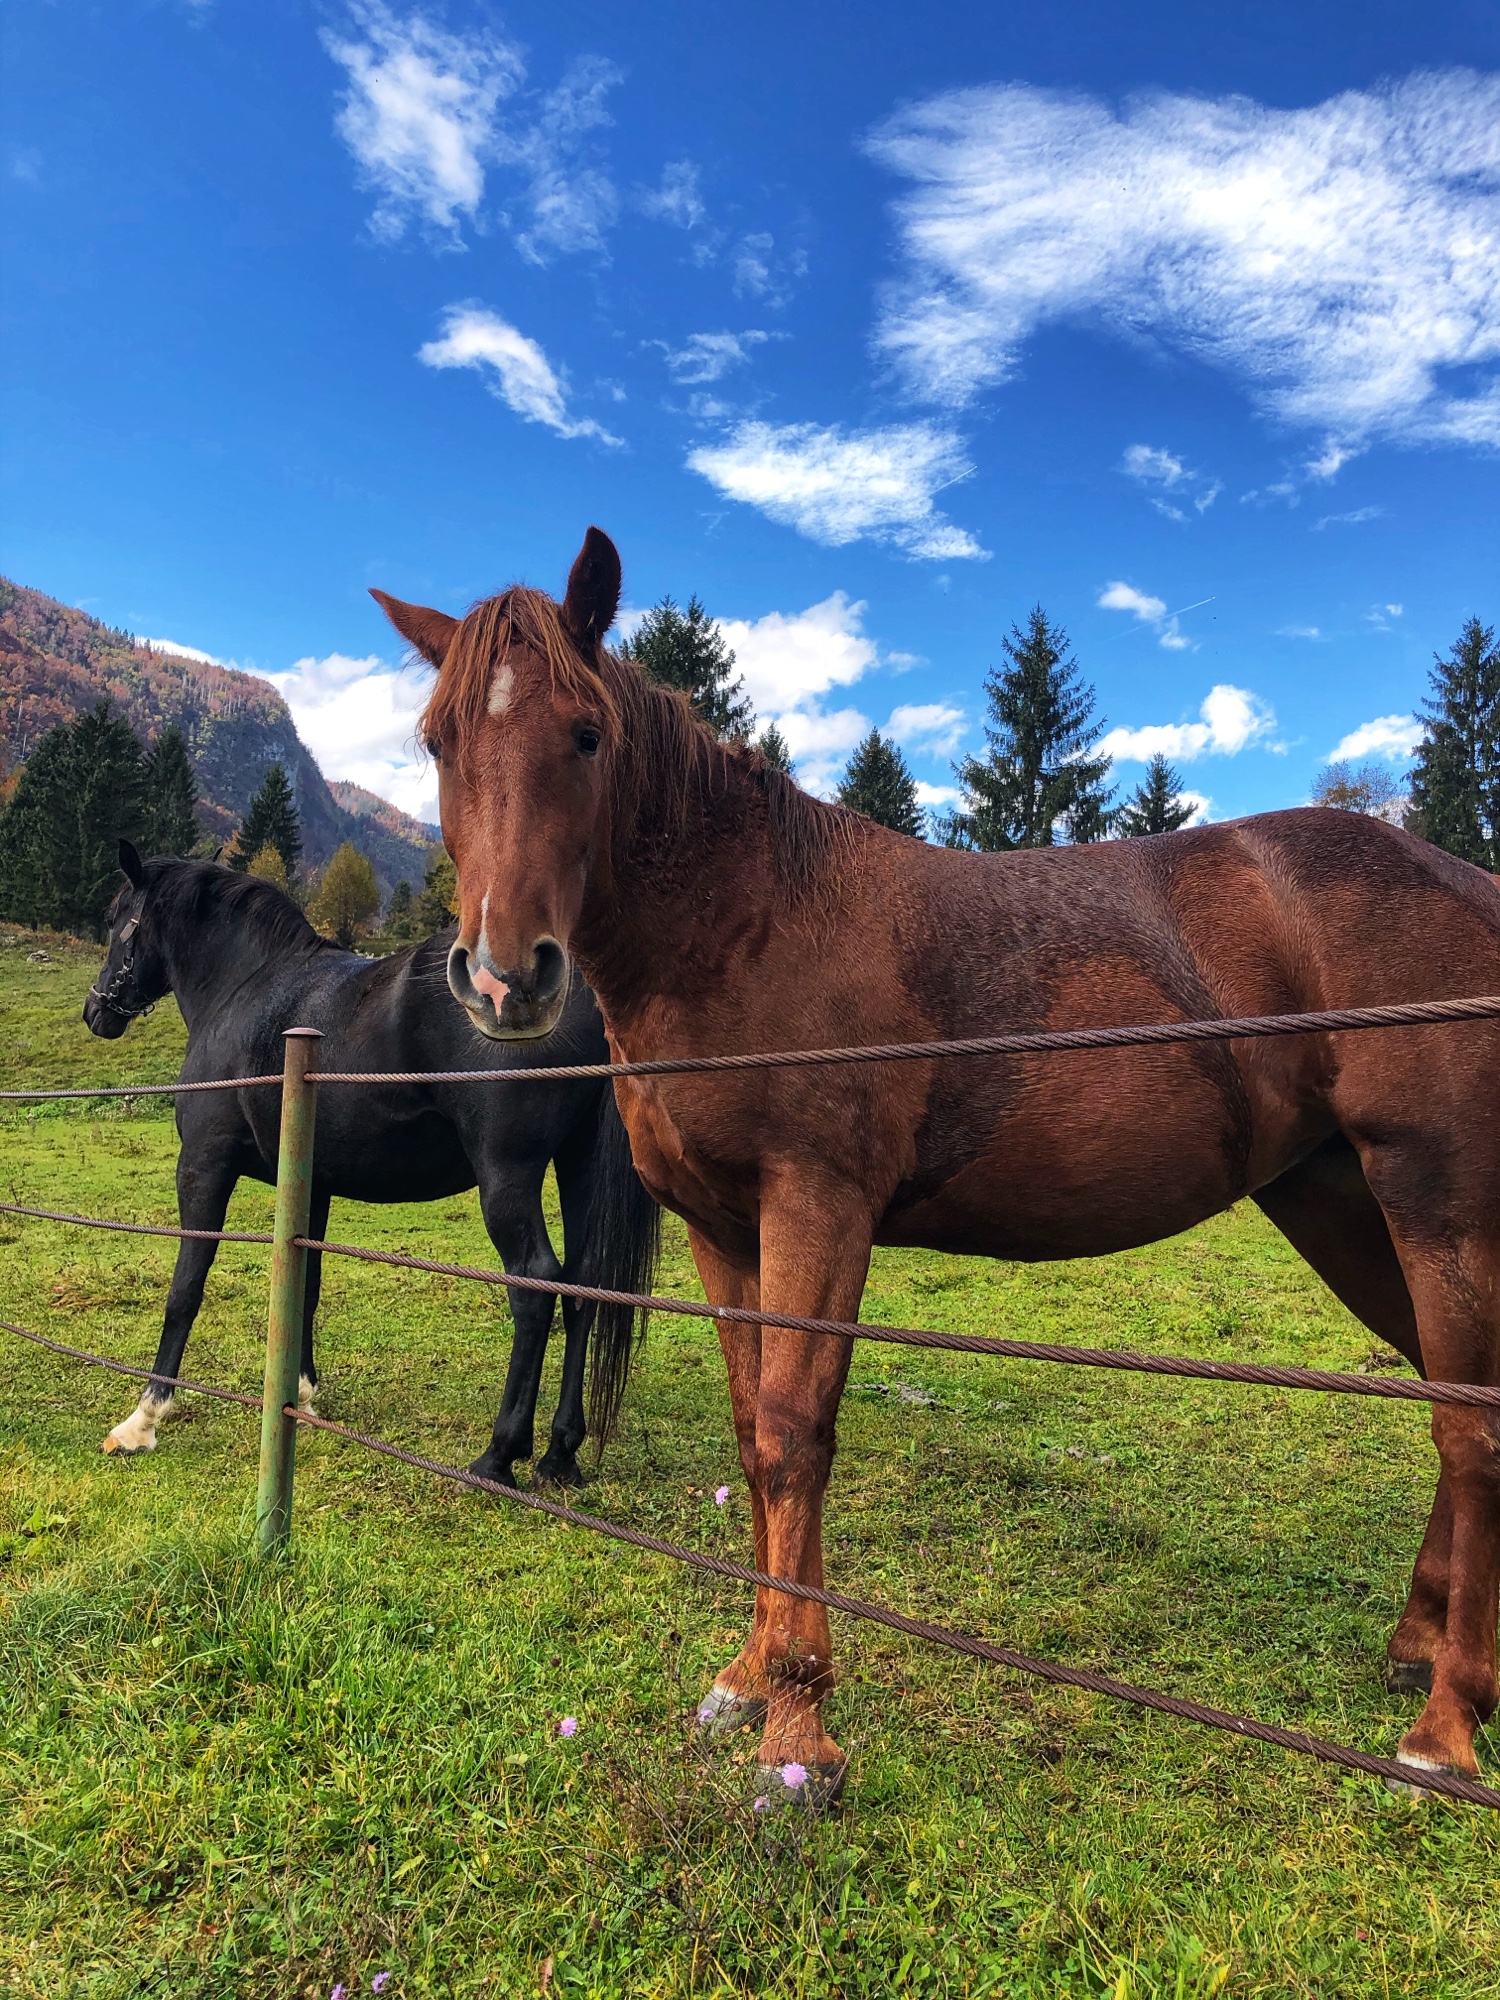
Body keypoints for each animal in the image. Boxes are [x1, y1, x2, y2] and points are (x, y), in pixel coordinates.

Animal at [83, 842, 658, 1487]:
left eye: (116, 919)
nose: (95, 1011)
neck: (245, 988)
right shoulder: (311, 1186)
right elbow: (305, 1286)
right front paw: (302, 1393)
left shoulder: (204, 1167)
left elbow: (185, 1287)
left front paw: (143, 1418)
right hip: (577, 1164)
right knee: (585, 1287)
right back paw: (560, 1452)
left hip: (507, 1176)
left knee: (535, 1286)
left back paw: (499, 1454)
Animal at [374, 527, 1500, 1804]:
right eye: (438, 740)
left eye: (586, 732)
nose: (504, 976)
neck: (749, 920)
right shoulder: (724, 1229)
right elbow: (751, 1433)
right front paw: (748, 1677)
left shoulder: (819, 1208)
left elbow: (793, 1436)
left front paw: (799, 1724)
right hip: (1342, 1205)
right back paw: (1420, 1646)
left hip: (1436, 1204)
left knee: (1470, 1432)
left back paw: (1447, 1722)